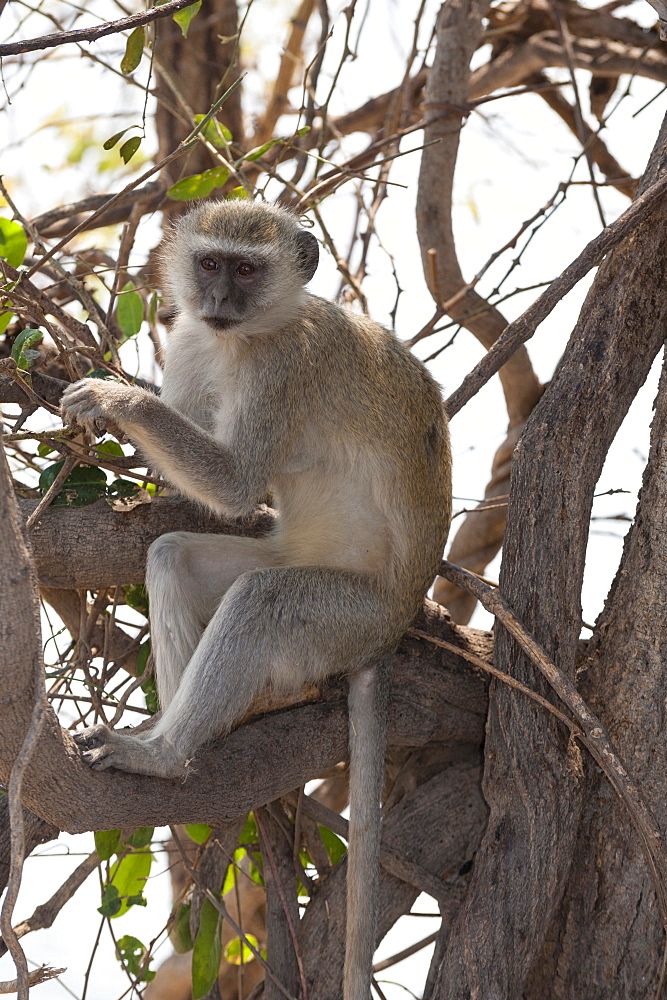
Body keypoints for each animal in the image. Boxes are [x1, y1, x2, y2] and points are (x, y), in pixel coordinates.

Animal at [61, 197, 454, 1000]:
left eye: (246, 270)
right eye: (210, 263)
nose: (218, 299)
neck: (248, 335)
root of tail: (393, 627)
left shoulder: (283, 366)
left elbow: (236, 483)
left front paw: (115, 397)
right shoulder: (190, 337)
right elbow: (191, 493)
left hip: (342, 618)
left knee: (262, 599)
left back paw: (167, 757)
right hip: (290, 562)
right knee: (174, 556)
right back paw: (180, 735)